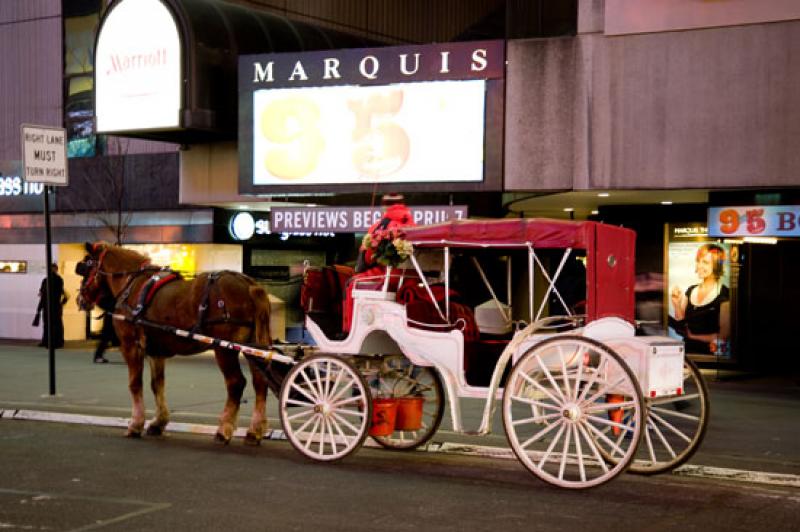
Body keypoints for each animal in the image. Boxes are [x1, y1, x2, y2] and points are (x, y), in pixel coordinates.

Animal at [75, 243, 276, 442]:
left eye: (85, 268)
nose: (80, 299)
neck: (132, 284)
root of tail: (249, 285)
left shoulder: (130, 345)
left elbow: (135, 384)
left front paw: (136, 424)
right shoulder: (156, 352)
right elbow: (157, 385)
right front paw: (158, 422)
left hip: (224, 349)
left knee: (235, 383)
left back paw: (224, 428)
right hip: (252, 348)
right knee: (260, 382)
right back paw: (255, 430)